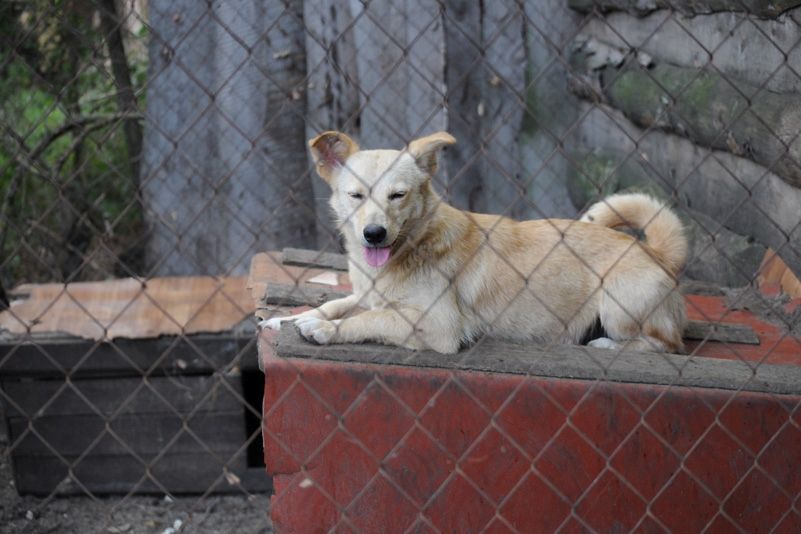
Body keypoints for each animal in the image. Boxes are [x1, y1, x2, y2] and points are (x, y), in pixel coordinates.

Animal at [262, 131, 688, 356]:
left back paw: (606, 345)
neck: (413, 246)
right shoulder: (369, 295)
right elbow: (337, 303)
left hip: (618, 302)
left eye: (397, 195)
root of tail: (658, 253)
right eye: (356, 196)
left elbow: (370, 319)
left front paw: (324, 330)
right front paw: (293, 318)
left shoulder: (438, 325)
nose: (374, 234)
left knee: (665, 343)